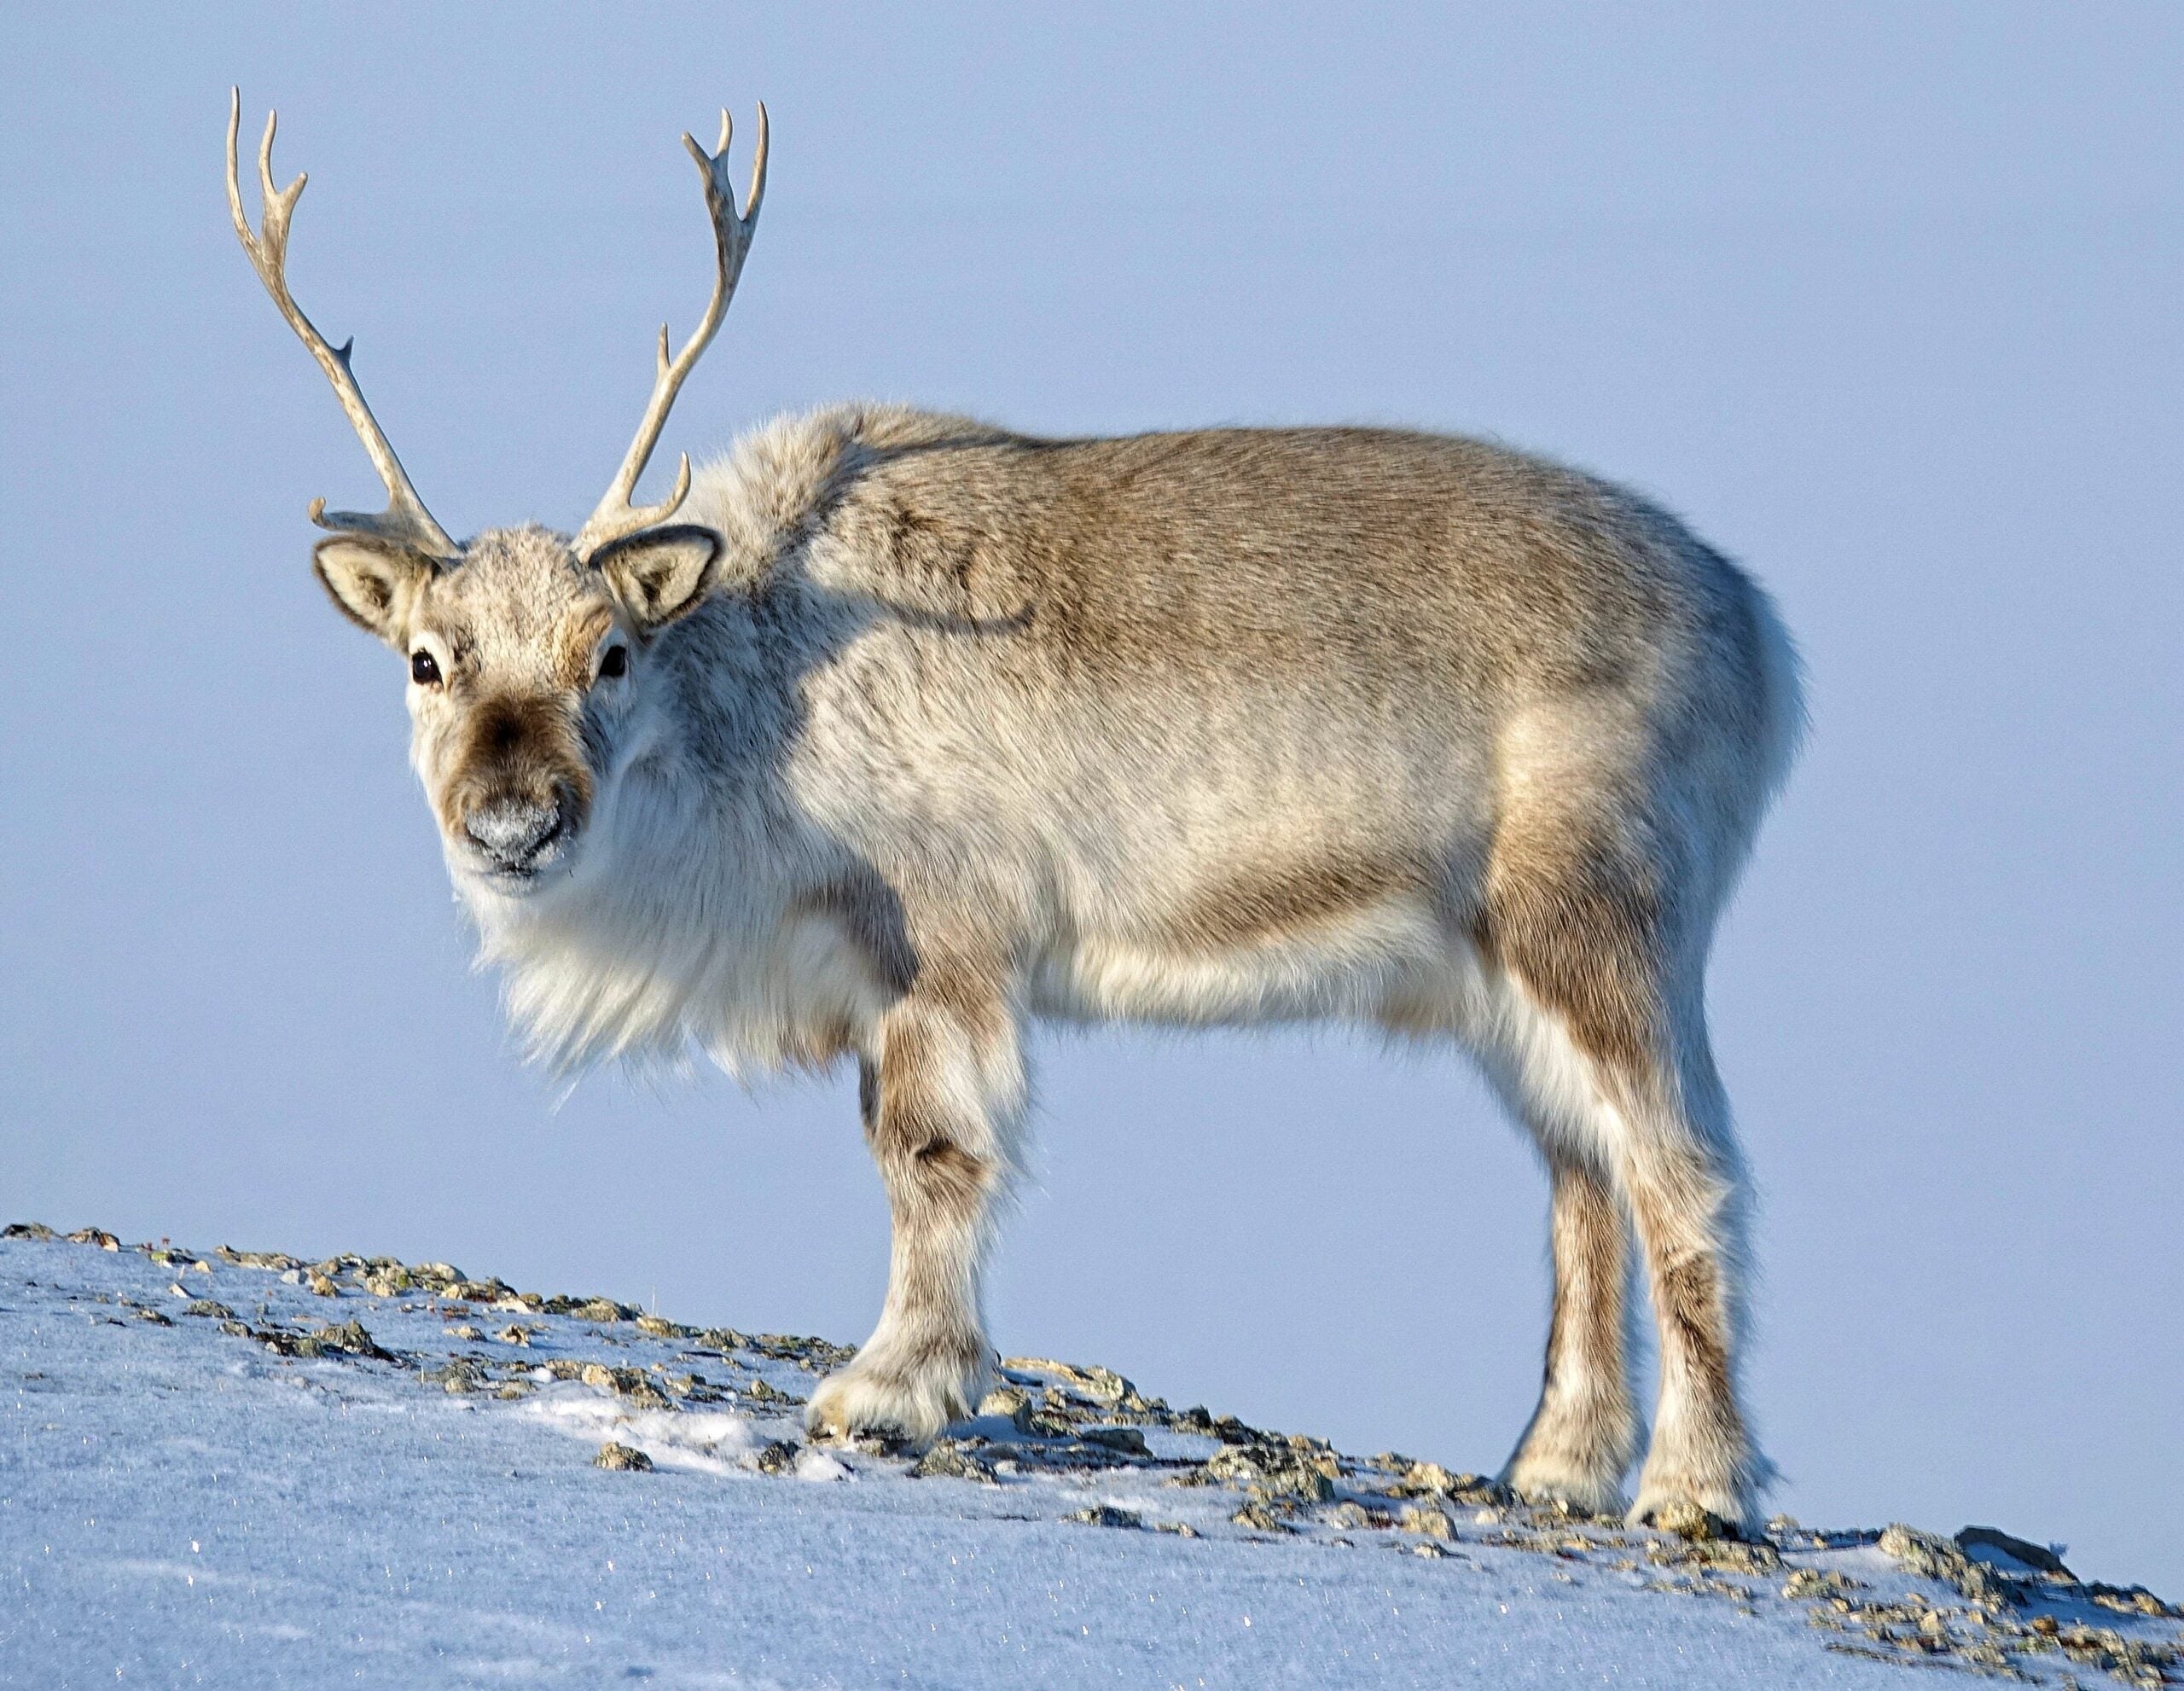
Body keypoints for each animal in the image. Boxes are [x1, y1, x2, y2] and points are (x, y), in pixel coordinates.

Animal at [227, 89, 1803, 1533]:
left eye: (607, 652)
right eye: (425, 660)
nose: (511, 821)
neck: (754, 691)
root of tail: (1760, 632)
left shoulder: (944, 935)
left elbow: (931, 1154)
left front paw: (891, 1386)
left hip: (1603, 915)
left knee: (1686, 1171)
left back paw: (1696, 1486)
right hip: (1489, 972)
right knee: (1580, 1177)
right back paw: (1556, 1464)